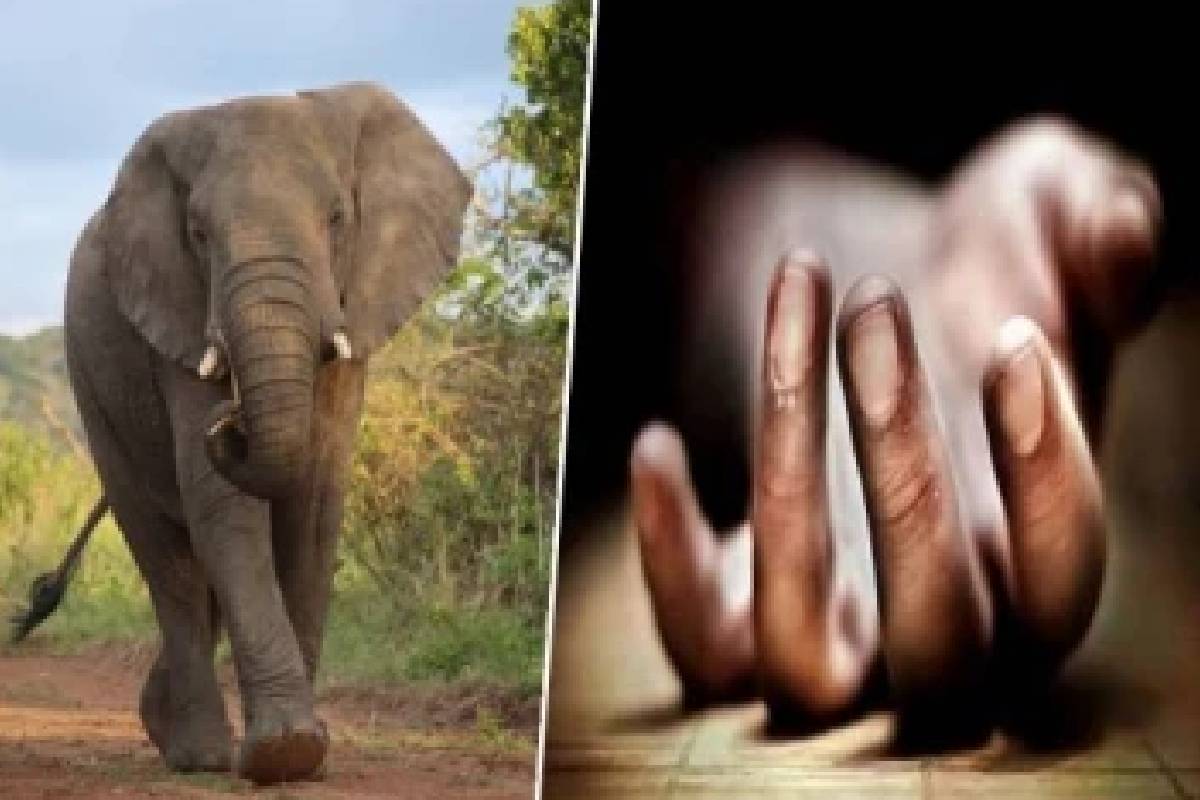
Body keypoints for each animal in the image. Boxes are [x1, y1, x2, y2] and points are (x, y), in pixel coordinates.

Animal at [14, 82, 471, 784]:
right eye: (199, 235)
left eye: (337, 219)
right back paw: (198, 755)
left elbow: (314, 505)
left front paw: (303, 755)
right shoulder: (173, 308)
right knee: (164, 556)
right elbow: (226, 507)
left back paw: (169, 722)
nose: (230, 422)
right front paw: (285, 750)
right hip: (93, 386)